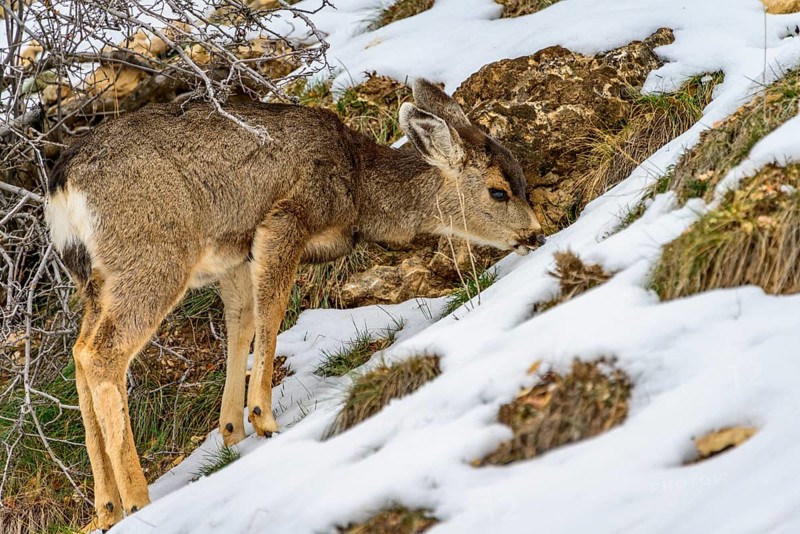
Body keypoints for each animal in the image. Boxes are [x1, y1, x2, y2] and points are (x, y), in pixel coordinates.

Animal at [45, 78, 545, 528]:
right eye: (498, 191)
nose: (537, 235)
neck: (357, 186)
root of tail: (62, 189)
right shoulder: (286, 216)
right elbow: (272, 311)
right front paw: (264, 419)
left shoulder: (234, 255)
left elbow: (242, 323)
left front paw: (232, 430)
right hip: (153, 256)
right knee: (103, 353)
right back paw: (137, 499)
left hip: (94, 280)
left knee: (79, 352)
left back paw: (106, 506)